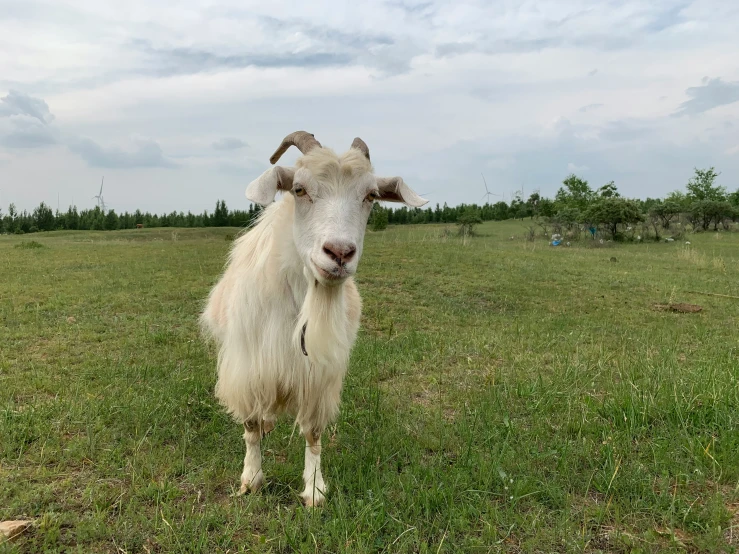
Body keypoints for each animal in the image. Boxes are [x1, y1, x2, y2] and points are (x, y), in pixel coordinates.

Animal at [199, 130, 428, 504]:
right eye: (300, 189)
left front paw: (315, 489)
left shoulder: (318, 375)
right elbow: (250, 427)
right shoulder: (248, 369)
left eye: (371, 195)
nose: (339, 252)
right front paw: (252, 479)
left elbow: (313, 434)